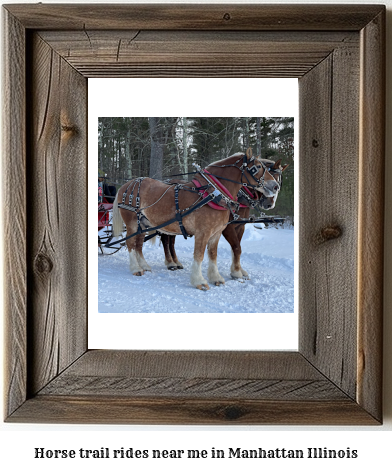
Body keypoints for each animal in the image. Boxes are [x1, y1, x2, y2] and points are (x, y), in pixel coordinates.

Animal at [110, 149, 284, 288]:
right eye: (258, 167)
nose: (275, 186)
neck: (214, 194)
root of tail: (126, 185)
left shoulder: (216, 233)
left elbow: (213, 254)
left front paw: (216, 278)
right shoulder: (203, 232)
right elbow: (199, 255)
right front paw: (199, 281)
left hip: (144, 223)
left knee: (139, 244)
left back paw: (145, 265)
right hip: (132, 222)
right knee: (131, 243)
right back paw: (136, 268)